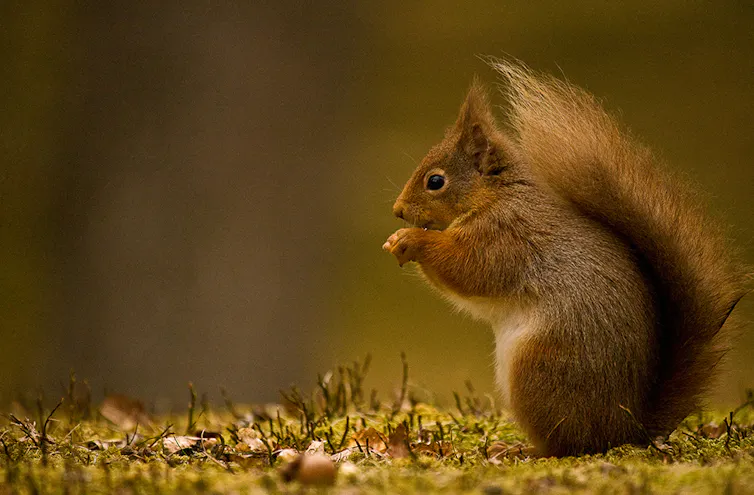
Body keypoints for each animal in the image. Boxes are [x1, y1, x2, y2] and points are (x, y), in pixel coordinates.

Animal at [382, 60, 748, 456]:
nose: (398, 211)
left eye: (435, 181)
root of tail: (625, 428)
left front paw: (411, 240)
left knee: (566, 444)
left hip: (539, 370)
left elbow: (467, 269)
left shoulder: (506, 236)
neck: (495, 195)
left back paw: (521, 449)